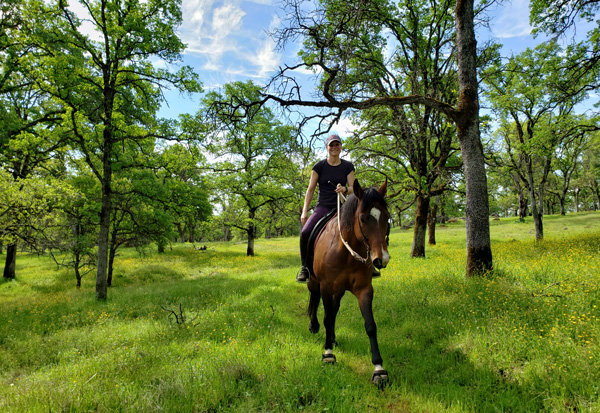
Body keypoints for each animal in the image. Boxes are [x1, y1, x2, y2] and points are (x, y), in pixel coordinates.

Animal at [304, 179, 394, 384]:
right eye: (363, 219)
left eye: (386, 217)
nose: (382, 259)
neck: (345, 251)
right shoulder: (326, 287)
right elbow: (327, 318)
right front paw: (328, 354)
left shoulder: (364, 290)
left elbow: (370, 325)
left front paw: (379, 369)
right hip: (315, 282)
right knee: (314, 299)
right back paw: (314, 326)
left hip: (339, 291)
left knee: (334, 310)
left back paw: (333, 338)